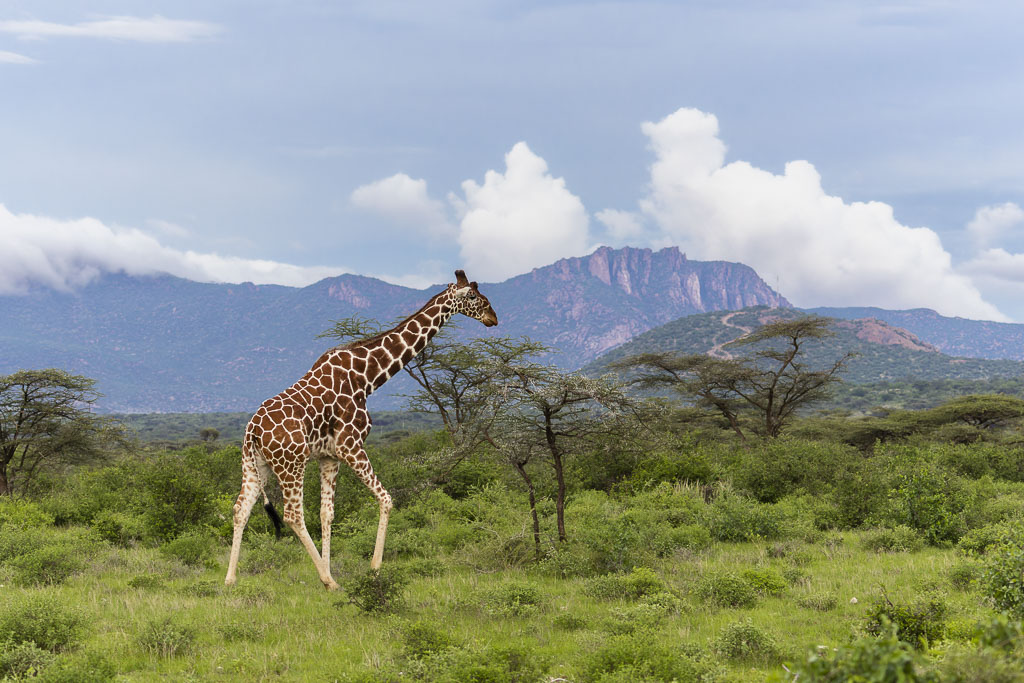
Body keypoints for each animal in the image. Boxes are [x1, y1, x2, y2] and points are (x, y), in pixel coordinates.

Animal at [223, 270, 495, 589]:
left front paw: (333, 568)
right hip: (291, 463)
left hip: (256, 465)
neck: (367, 377)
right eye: (473, 296)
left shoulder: (329, 456)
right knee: (292, 515)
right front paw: (373, 567)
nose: (493, 317)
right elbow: (386, 499)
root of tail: (252, 430)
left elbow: (327, 514)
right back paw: (329, 581)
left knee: (241, 509)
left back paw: (230, 580)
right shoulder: (350, 445)